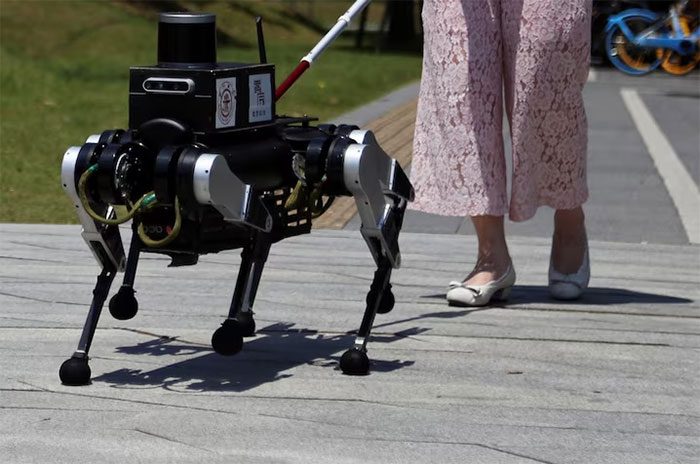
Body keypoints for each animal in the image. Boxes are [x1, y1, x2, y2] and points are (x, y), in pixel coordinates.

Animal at [60, 9, 412, 386]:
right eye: (126, 168)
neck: (163, 148)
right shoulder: (89, 163)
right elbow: (109, 259)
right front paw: (79, 359)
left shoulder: (221, 176)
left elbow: (375, 232)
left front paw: (357, 351)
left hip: (349, 158)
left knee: (384, 208)